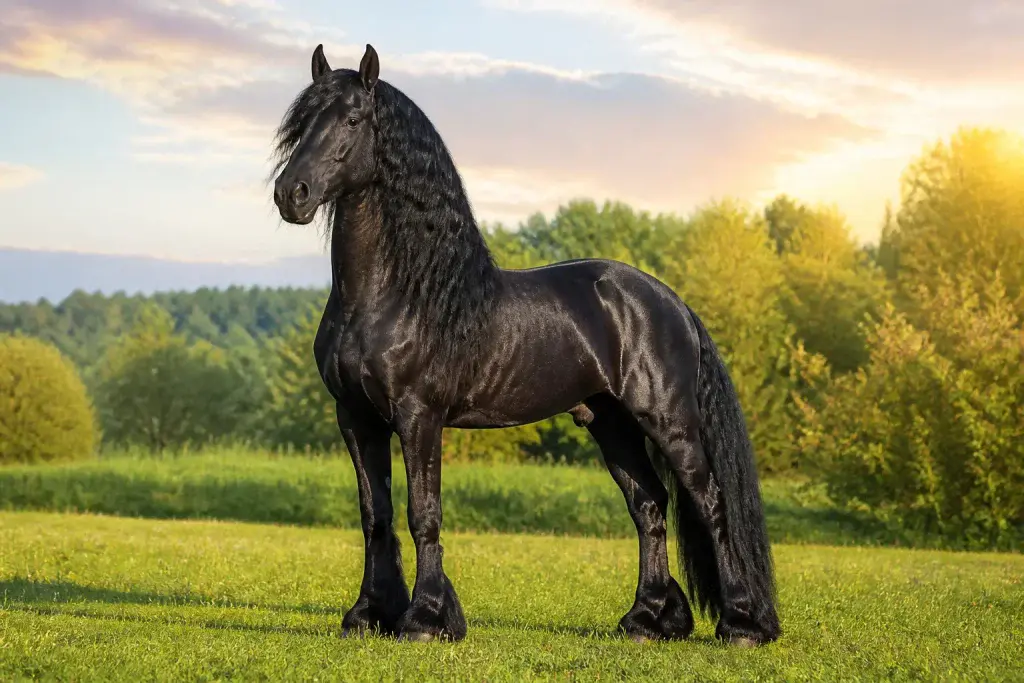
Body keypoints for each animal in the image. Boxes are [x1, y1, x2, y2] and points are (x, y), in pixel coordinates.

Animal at [270, 43, 781, 647]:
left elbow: (424, 512)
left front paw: (425, 620)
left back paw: (741, 624)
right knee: (649, 506)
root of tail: (670, 301)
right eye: (300, 123)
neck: (395, 294)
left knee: (710, 504)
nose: (291, 194)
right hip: (611, 424)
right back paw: (646, 620)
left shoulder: (419, 416)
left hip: (670, 422)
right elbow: (376, 513)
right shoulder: (356, 417)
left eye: (352, 120)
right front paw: (370, 614)